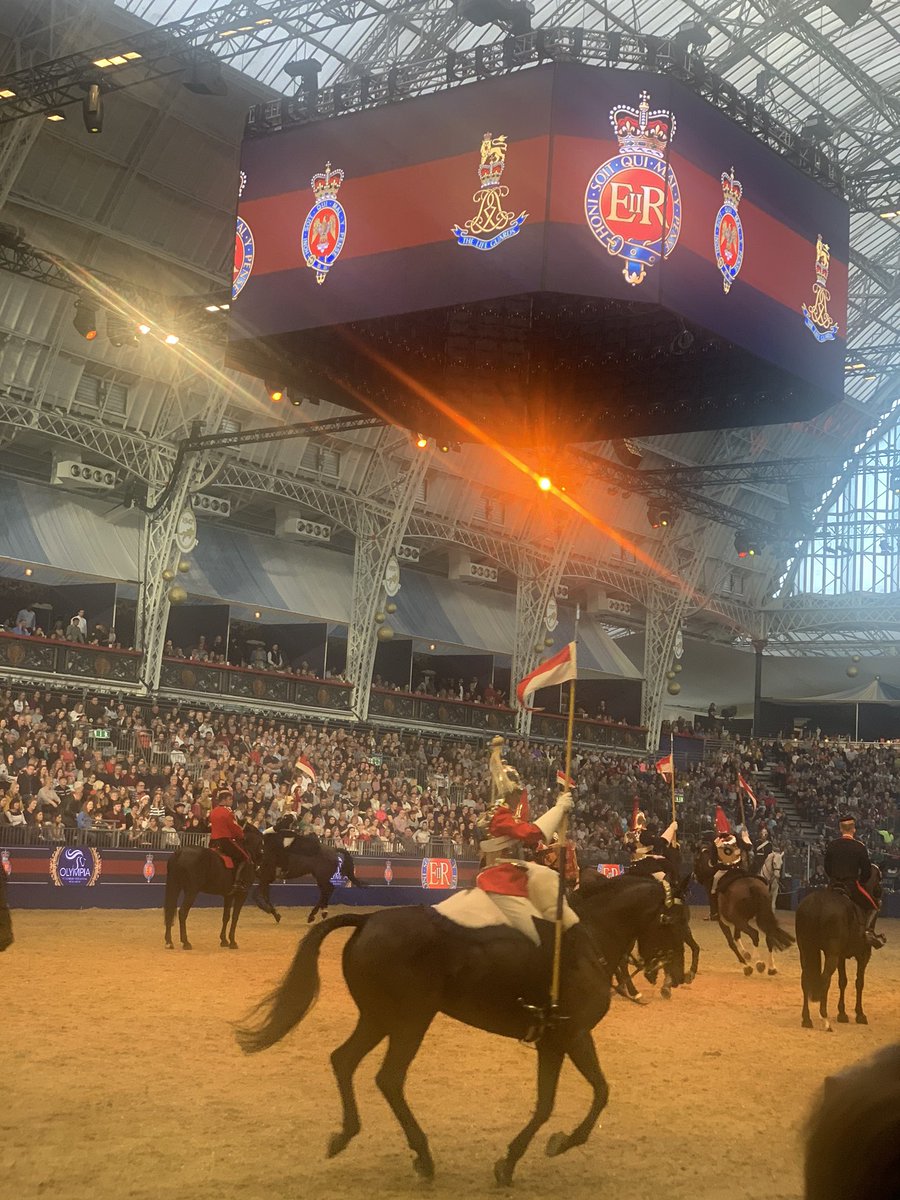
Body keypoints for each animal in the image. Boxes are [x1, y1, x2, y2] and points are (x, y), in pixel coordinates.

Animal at [237, 874, 681, 1186]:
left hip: (379, 1018)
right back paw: (423, 1156)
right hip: (410, 1021)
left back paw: (346, 1134)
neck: (587, 941)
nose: (676, 974)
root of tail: (367, 920)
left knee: (344, 1060)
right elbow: (570, 1100)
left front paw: (528, 1153)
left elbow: (579, 1095)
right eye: (671, 921)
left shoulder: (563, 1040)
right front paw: (540, 1150)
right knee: (389, 1078)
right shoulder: (567, 1038)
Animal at [795, 866, 881, 1032]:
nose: (880, 894)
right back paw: (825, 1019)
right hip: (831, 955)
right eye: (879, 879)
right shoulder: (864, 955)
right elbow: (859, 982)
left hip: (806, 951)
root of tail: (817, 903)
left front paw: (842, 1013)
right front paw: (860, 1014)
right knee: (824, 979)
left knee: (805, 979)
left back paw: (806, 1019)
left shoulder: (841, 956)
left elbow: (843, 981)